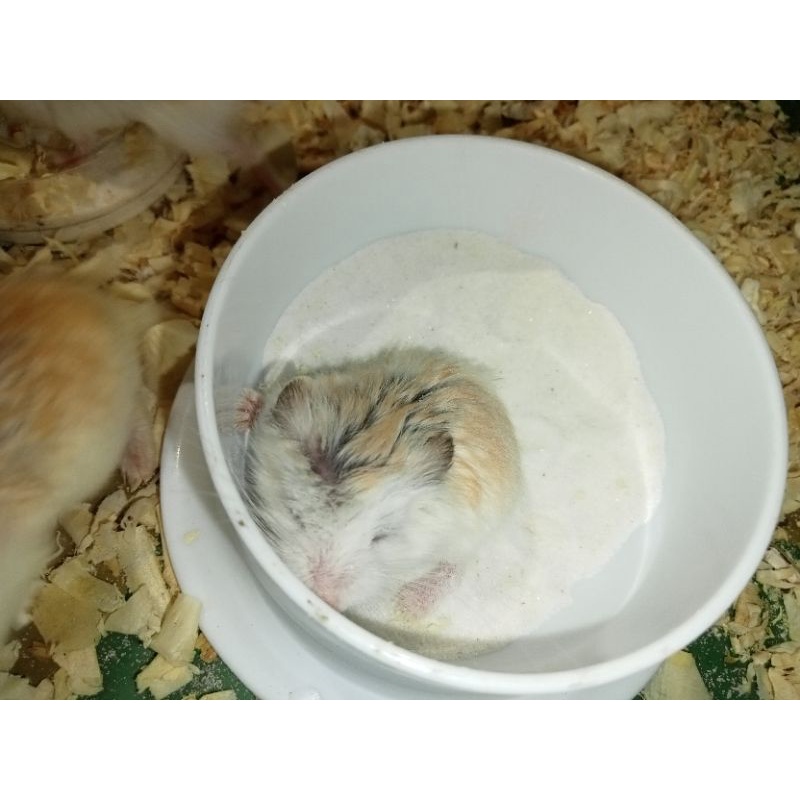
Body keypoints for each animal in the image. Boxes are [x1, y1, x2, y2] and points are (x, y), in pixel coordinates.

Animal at [242, 347, 524, 620]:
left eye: (380, 537)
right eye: (296, 516)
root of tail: (483, 385)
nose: (324, 597)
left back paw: (409, 605)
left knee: (455, 565)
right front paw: (244, 408)